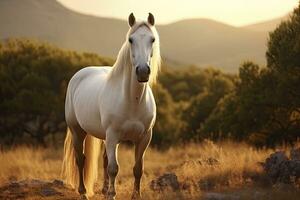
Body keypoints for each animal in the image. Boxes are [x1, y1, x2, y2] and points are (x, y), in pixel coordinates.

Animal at [59, 13, 161, 199]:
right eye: (130, 40)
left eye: (152, 39)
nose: (143, 71)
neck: (132, 101)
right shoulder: (113, 135)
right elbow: (114, 168)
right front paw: (112, 194)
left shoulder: (144, 138)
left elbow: (138, 168)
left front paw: (135, 195)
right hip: (78, 131)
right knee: (81, 160)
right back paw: (83, 192)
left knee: (105, 159)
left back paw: (104, 189)